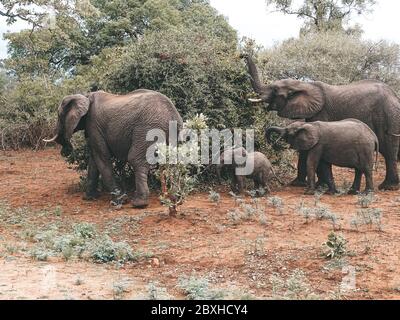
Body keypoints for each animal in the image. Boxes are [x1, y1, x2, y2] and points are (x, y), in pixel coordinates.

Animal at [43, 89, 183, 208]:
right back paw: (175, 199)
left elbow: (102, 157)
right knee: (174, 161)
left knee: (135, 159)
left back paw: (139, 203)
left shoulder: (93, 124)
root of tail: (172, 113)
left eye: (59, 116)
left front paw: (119, 201)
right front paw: (89, 198)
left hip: (147, 128)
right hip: (172, 131)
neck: (85, 95)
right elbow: (94, 161)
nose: (65, 151)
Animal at [241, 54, 400, 192]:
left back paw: (388, 187)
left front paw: (315, 186)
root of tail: (394, 94)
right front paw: (298, 184)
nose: (243, 55)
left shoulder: (321, 113)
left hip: (388, 115)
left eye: (274, 90)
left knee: (388, 149)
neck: (304, 85)